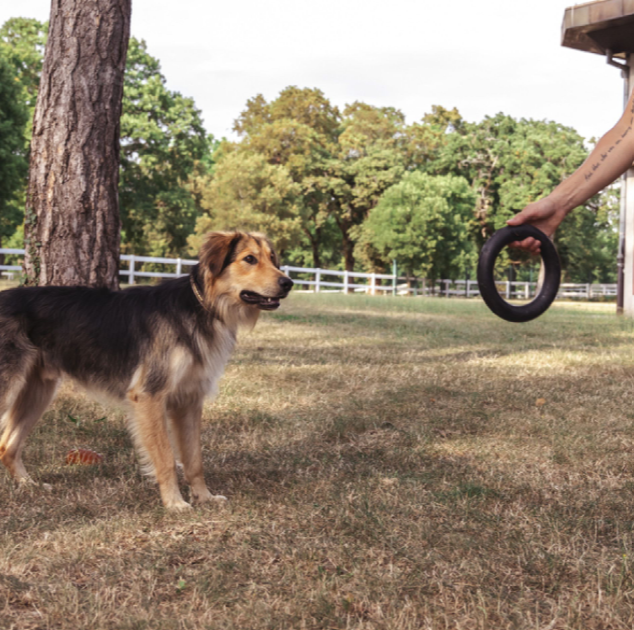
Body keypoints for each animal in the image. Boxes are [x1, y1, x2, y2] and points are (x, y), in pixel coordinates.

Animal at [0, 232, 292, 512]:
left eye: (272, 258)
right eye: (249, 259)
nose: (288, 283)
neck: (200, 307)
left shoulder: (189, 400)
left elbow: (193, 459)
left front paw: (204, 498)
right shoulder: (150, 396)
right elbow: (165, 458)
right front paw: (174, 503)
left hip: (39, 391)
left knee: (7, 446)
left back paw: (28, 485)